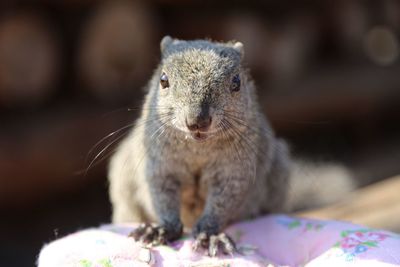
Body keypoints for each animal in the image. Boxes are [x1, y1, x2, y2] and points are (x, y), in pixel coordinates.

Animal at [107, 36, 354, 258]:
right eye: (163, 80)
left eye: (236, 82)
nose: (197, 120)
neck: (198, 148)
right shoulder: (158, 164)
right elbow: (161, 194)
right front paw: (162, 228)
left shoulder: (234, 171)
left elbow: (223, 201)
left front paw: (209, 234)